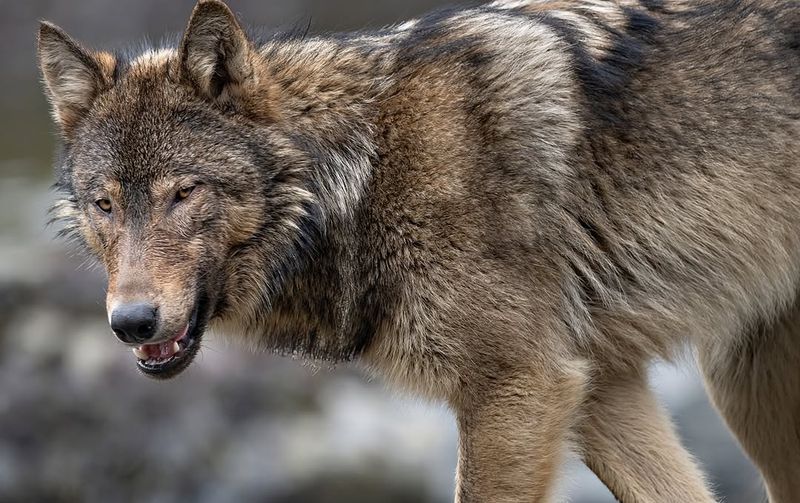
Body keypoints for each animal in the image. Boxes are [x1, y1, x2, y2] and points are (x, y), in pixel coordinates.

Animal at [39, 0, 800, 502]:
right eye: (105, 204)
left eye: (184, 192)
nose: (130, 322)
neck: (363, 175)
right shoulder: (598, 387)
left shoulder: (519, 388)